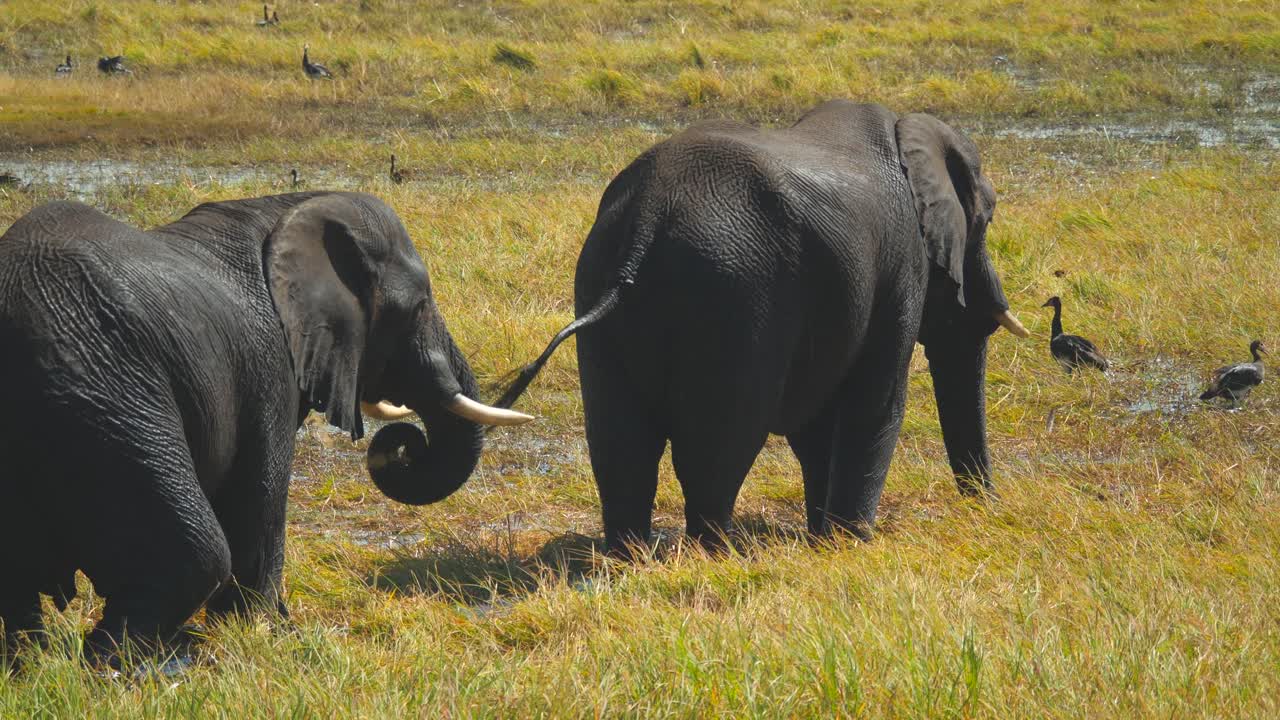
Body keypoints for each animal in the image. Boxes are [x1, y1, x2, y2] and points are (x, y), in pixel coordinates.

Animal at [0, 192, 532, 659]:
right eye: (419, 306)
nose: (406, 444)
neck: (289, 206)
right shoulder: (267, 361)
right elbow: (261, 494)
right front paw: (264, 632)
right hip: (106, 391)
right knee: (193, 554)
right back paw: (121, 668)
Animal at [496, 100, 1029, 556]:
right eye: (986, 219)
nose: (987, 509)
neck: (907, 134)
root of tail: (648, 213)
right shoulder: (900, 266)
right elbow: (876, 404)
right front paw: (850, 544)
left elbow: (818, 422)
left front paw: (823, 540)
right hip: (736, 293)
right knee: (718, 447)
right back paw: (719, 555)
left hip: (601, 279)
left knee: (621, 444)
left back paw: (630, 559)